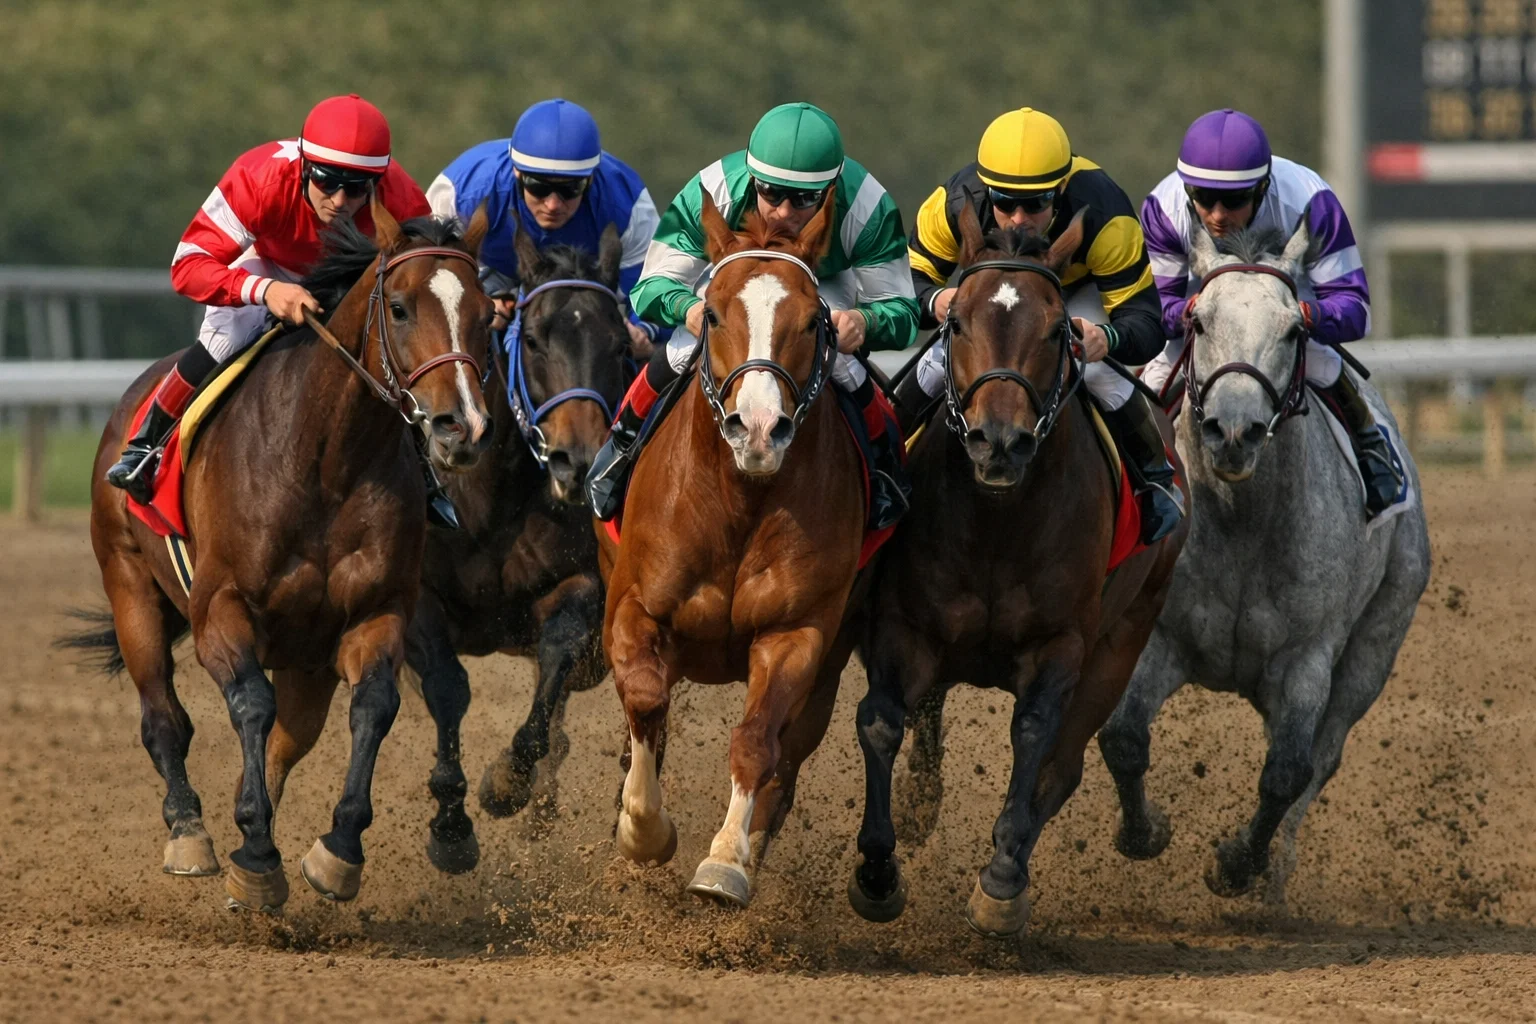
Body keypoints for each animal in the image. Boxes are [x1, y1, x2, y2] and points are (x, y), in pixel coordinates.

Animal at [67, 204, 493, 911]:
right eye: (400, 308)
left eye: (488, 314)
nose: (462, 428)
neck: (325, 459)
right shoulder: (220, 610)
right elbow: (249, 705)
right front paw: (257, 855)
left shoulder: (375, 613)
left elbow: (375, 706)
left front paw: (337, 850)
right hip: (131, 590)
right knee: (164, 718)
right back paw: (190, 833)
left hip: (307, 660)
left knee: (289, 741)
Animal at [409, 225, 630, 874]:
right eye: (531, 339)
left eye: (619, 345)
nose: (576, 460)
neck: (488, 499)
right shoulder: (418, 596)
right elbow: (445, 685)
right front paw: (451, 826)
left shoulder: (580, 587)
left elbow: (558, 656)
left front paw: (507, 781)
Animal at [597, 187, 867, 908]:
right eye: (714, 313)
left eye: (815, 322)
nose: (761, 429)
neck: (738, 501)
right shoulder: (634, 606)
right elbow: (645, 702)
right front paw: (643, 831)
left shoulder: (797, 631)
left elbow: (756, 741)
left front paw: (725, 862)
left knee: (787, 755)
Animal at [846, 205, 1189, 937]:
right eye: (955, 323)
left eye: (1058, 329)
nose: (998, 443)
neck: (997, 522)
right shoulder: (904, 625)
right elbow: (883, 721)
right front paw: (879, 868)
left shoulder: (1063, 643)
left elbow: (1034, 738)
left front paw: (1002, 880)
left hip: (1125, 636)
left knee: (1061, 766)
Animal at [1098, 222, 1431, 902]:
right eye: (1199, 322)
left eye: (1294, 331)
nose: (1234, 432)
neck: (1241, 523)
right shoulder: (1159, 635)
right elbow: (1124, 738)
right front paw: (1144, 834)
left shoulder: (1308, 656)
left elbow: (1288, 771)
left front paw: (1236, 864)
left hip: (1376, 641)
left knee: (1322, 757)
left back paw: (1275, 869)